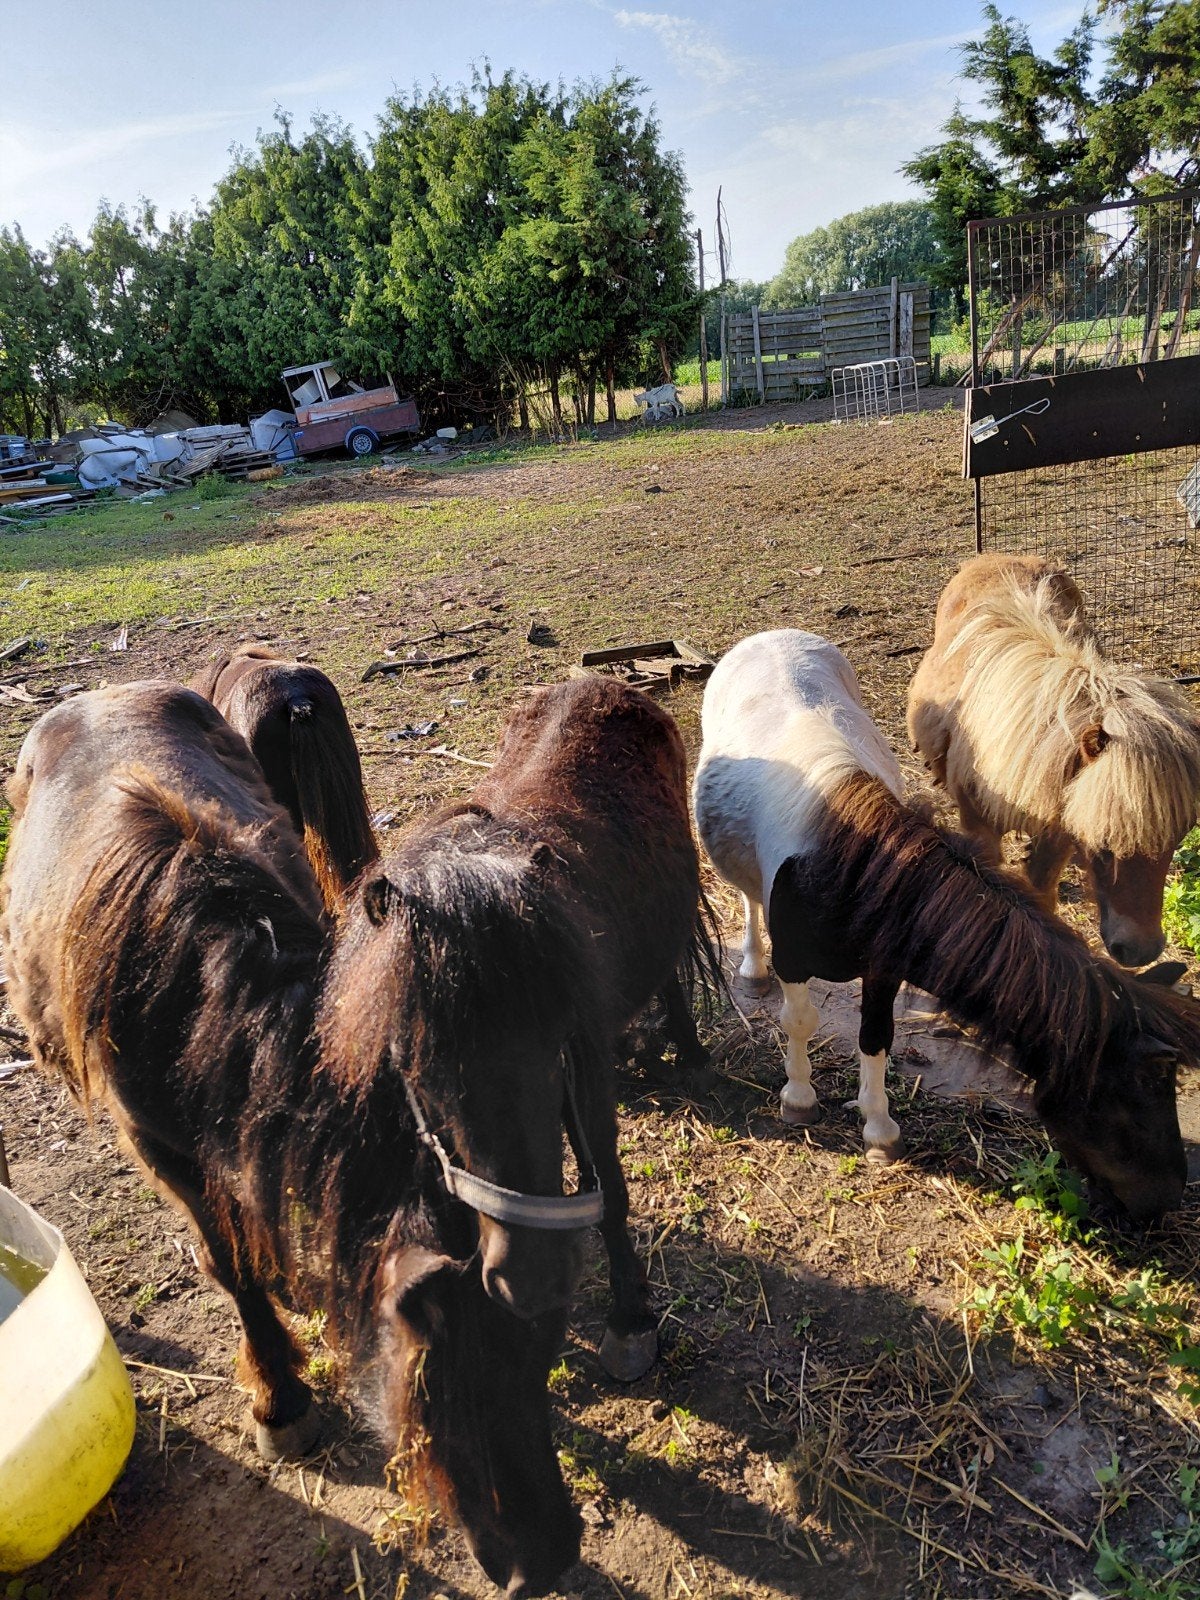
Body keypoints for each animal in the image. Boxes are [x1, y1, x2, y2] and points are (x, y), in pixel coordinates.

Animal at [0, 682, 582, 1597]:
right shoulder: (161, 1151)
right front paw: (281, 1398)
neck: (186, 990)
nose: (549, 1556)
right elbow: (230, 1265)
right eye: (437, 1375)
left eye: (543, 1354)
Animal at [322, 673, 718, 1383]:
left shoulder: (586, 1075)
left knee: (672, 971)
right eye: (414, 1063)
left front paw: (631, 1319)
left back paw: (691, 1053)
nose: (533, 1283)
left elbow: (610, 1190)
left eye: (557, 1042)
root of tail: (597, 680)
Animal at [693, 629, 1195, 1224]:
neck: (846, 866)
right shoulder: (795, 959)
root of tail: (772, 636)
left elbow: (875, 1037)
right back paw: (751, 966)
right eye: (1143, 1086)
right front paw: (799, 1099)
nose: (1166, 1198)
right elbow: (799, 1021)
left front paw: (880, 1129)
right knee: (749, 899)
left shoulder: (883, 967)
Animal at [907, 553, 1200, 967]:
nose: (1140, 951)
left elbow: (1042, 894)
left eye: (1178, 838)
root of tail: (993, 556)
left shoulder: (1058, 831)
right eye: (1105, 845)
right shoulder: (980, 827)